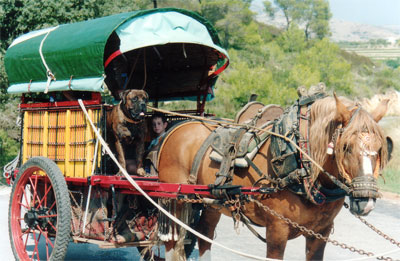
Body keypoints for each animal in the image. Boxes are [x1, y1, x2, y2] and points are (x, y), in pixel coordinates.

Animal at [157, 94, 390, 258]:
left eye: (380, 148)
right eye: (346, 147)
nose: (366, 201)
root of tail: (178, 127)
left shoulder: (320, 233)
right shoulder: (277, 230)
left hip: (213, 202)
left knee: (204, 234)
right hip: (174, 200)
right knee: (172, 243)